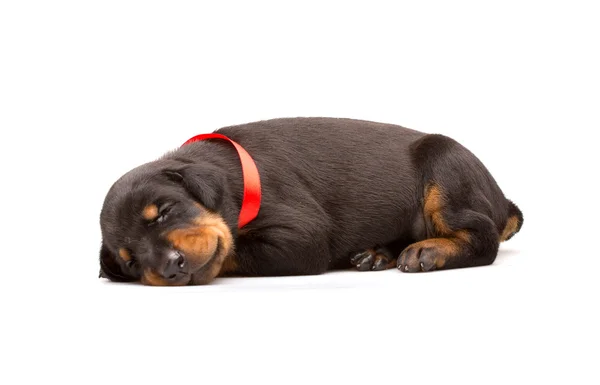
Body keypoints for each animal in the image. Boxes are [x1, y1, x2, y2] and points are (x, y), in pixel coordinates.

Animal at [97, 117, 520, 284]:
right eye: (131, 261)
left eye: (164, 212)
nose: (171, 267)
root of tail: (502, 200)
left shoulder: (301, 236)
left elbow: (234, 249)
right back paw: (377, 253)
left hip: (444, 165)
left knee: (482, 236)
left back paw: (427, 250)